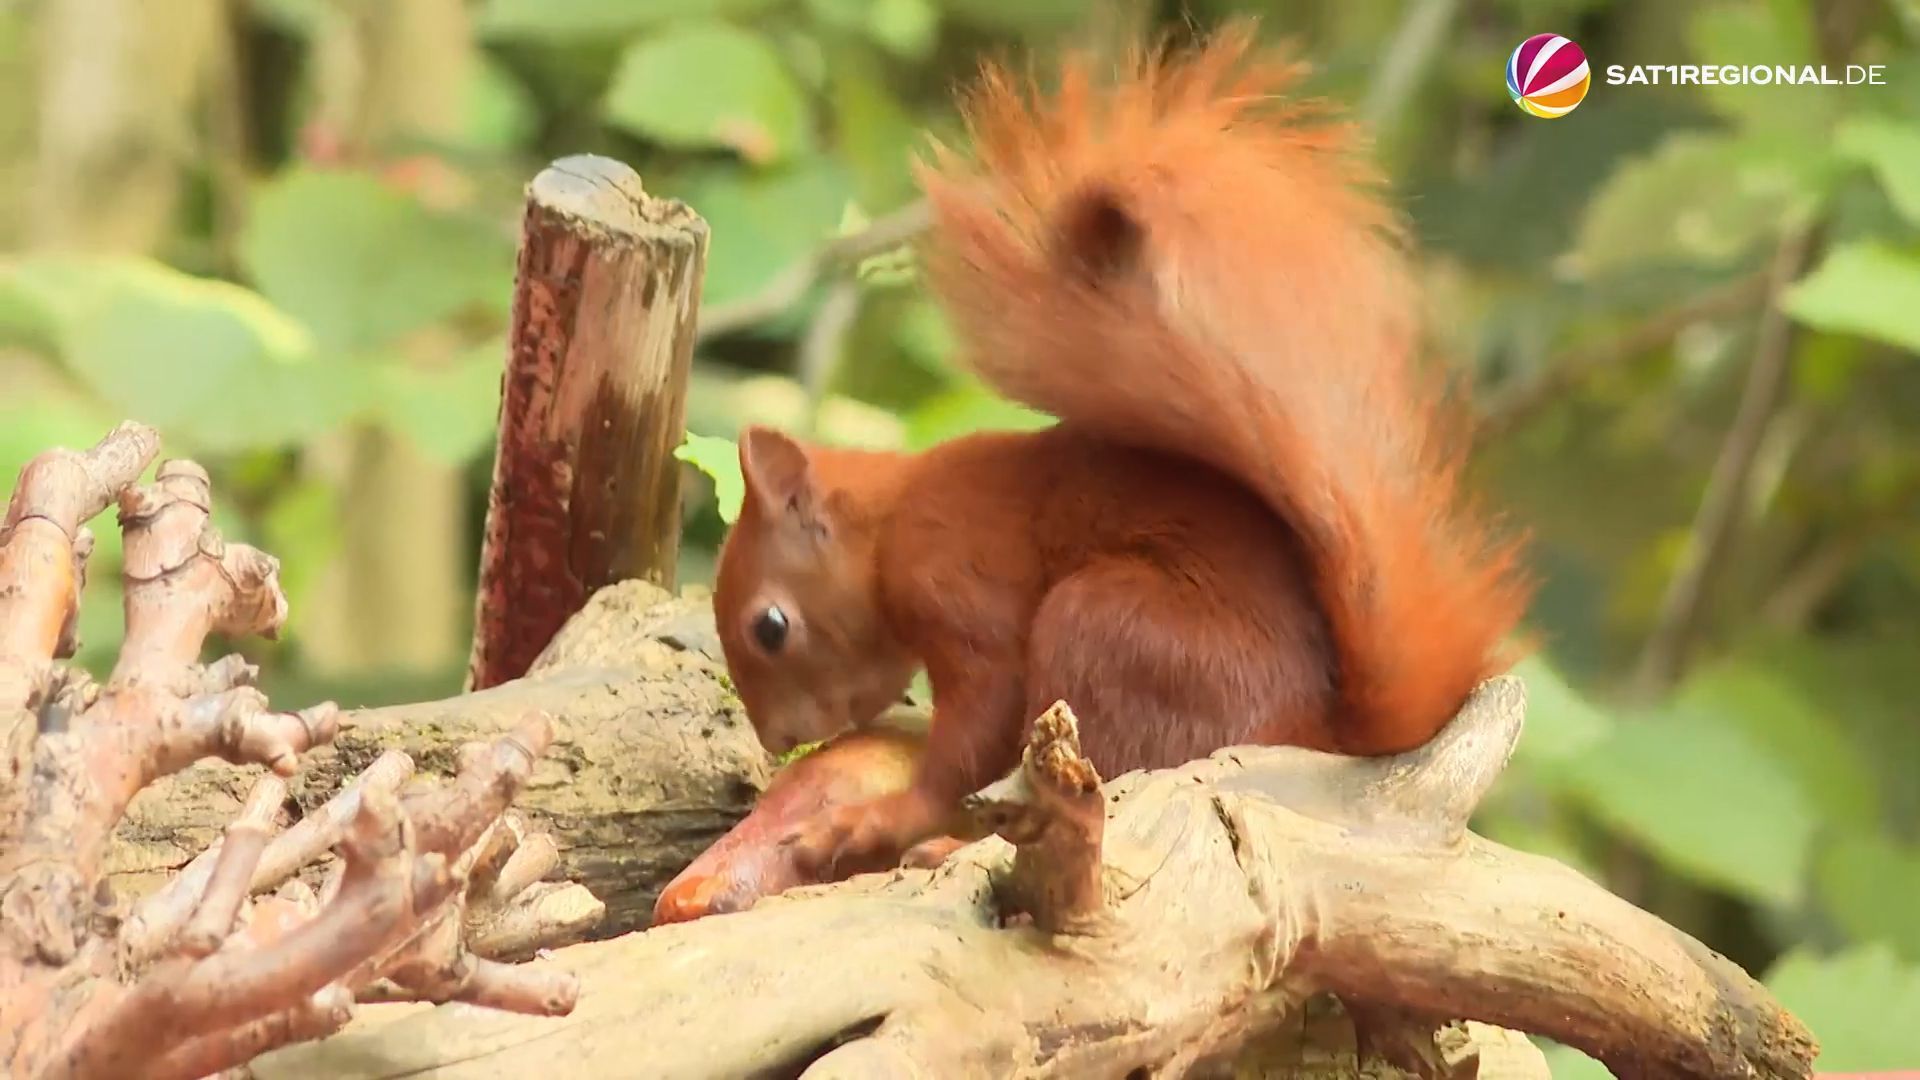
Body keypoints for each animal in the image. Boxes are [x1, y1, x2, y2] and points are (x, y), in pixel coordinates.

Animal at [710, 22, 1533, 878]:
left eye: (771, 627)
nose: (775, 737)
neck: (889, 527)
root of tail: (1318, 735)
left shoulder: (961, 591)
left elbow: (972, 733)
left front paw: (879, 821)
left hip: (1106, 630)